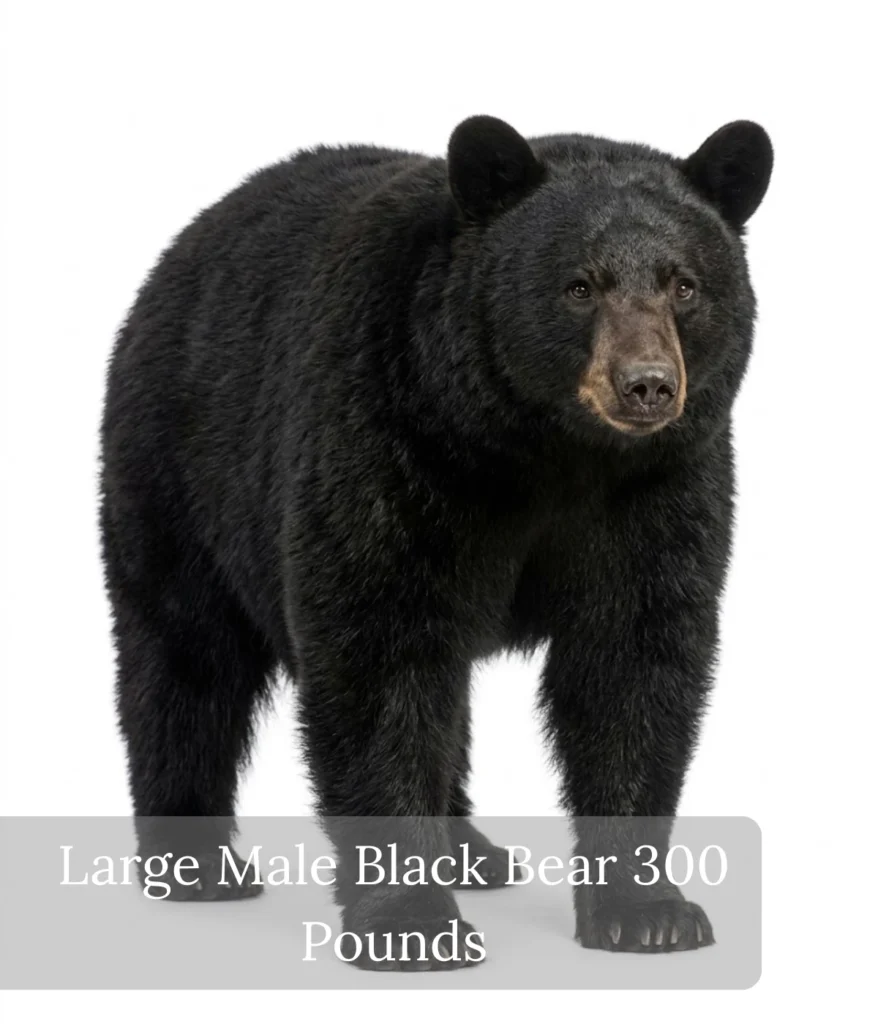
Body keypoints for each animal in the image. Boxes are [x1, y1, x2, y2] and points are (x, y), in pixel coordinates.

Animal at [99, 115, 772, 969]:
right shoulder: (390, 436)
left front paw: (647, 910)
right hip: (182, 469)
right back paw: (196, 867)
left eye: (683, 283)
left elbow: (634, 661)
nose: (647, 383)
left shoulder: (660, 486)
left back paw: (473, 853)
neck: (544, 451)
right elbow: (379, 651)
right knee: (186, 654)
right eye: (579, 285)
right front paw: (411, 923)